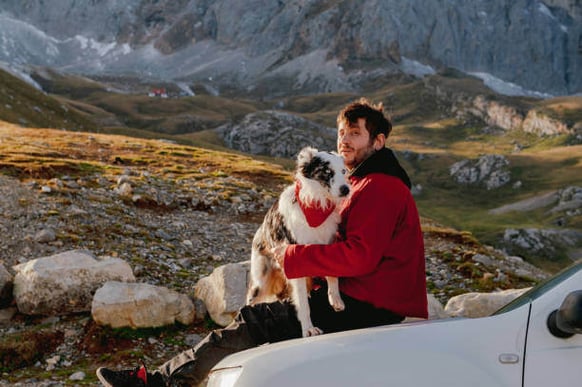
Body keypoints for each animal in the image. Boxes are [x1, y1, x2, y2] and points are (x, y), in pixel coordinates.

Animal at [246, 147, 352, 338]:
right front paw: (308, 329)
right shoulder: (295, 260)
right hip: (260, 281)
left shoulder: (327, 244)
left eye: (343, 171)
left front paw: (335, 298)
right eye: (327, 171)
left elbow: (332, 273)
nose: (346, 190)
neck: (316, 202)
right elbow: (303, 304)